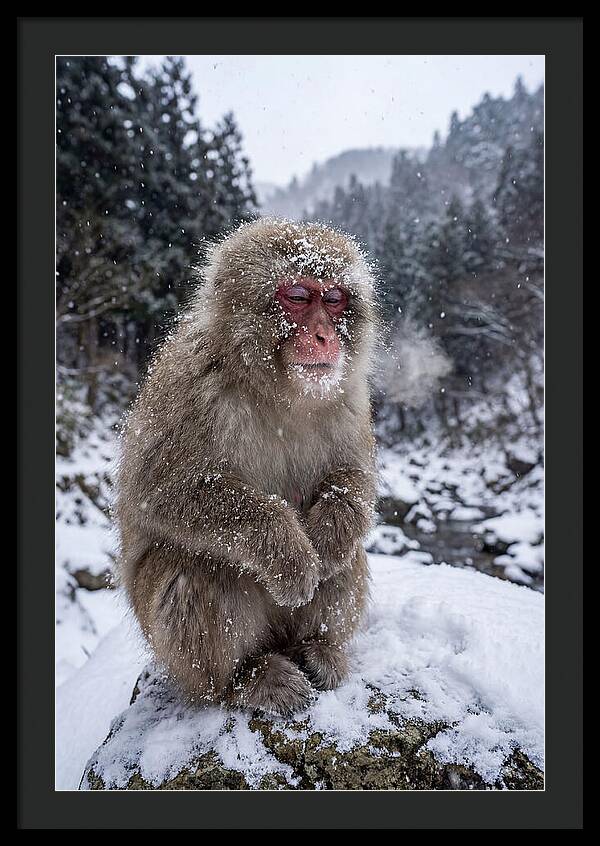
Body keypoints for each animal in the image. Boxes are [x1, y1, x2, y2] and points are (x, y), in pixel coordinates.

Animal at [115, 218, 379, 716]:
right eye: (298, 296)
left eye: (334, 299)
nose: (324, 335)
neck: (277, 391)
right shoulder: (188, 386)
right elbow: (160, 492)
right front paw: (289, 553)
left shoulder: (350, 398)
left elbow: (354, 478)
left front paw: (329, 535)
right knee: (192, 568)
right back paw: (244, 679)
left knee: (348, 557)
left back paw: (318, 648)